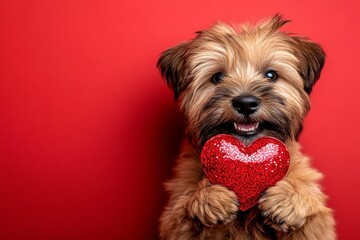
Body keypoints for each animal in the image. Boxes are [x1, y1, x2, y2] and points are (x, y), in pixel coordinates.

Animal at [157, 15, 334, 240]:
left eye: (271, 75)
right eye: (217, 77)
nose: (246, 103)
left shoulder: (318, 224)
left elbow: (312, 214)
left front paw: (289, 198)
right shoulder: (173, 220)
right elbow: (183, 210)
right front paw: (209, 196)